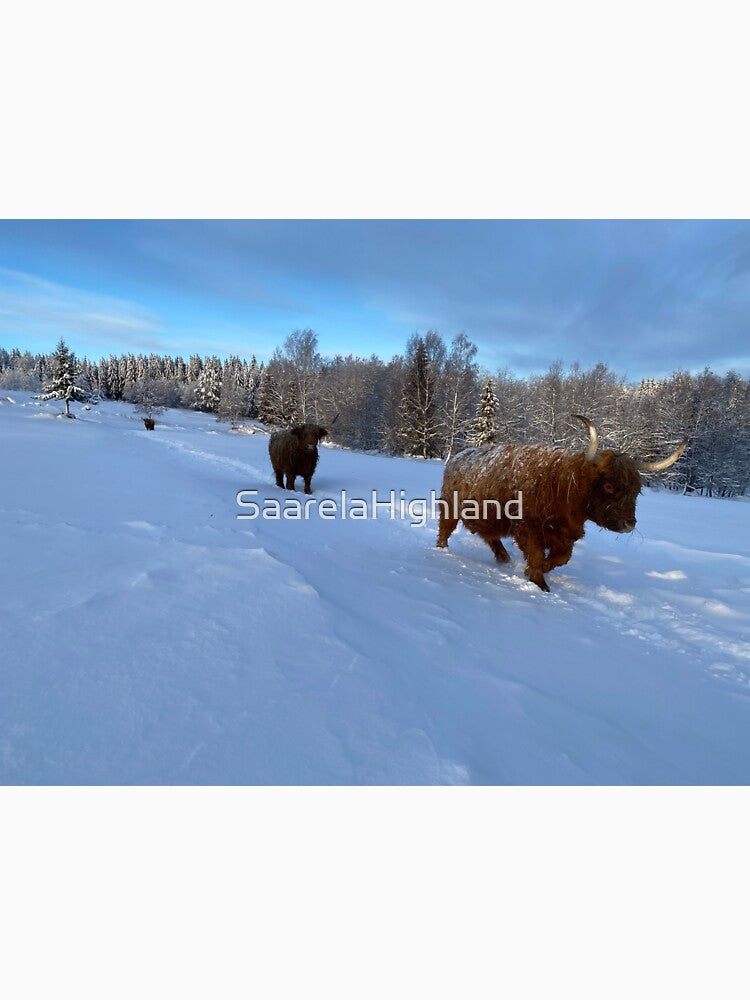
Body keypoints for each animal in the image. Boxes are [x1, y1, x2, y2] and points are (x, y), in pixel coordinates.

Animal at [436, 415, 686, 592]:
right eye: (608, 486)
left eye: (637, 490)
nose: (629, 524)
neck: (563, 485)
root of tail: (457, 457)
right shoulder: (528, 529)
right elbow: (537, 555)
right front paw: (538, 581)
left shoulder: (565, 535)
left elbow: (562, 558)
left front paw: (536, 571)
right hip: (449, 508)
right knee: (445, 530)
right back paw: (442, 551)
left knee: (491, 537)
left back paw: (504, 559)